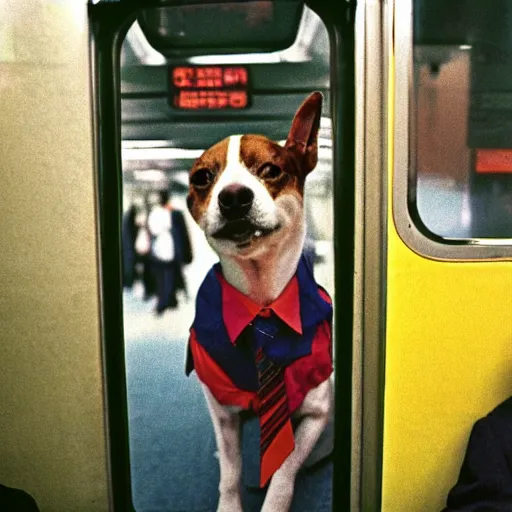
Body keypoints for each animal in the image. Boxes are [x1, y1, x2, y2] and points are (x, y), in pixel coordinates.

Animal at [186, 93, 334, 512]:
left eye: (271, 169)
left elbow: (285, 467)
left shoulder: (315, 412)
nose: (234, 196)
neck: (261, 298)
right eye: (202, 178)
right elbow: (231, 471)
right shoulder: (223, 413)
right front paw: (230, 502)